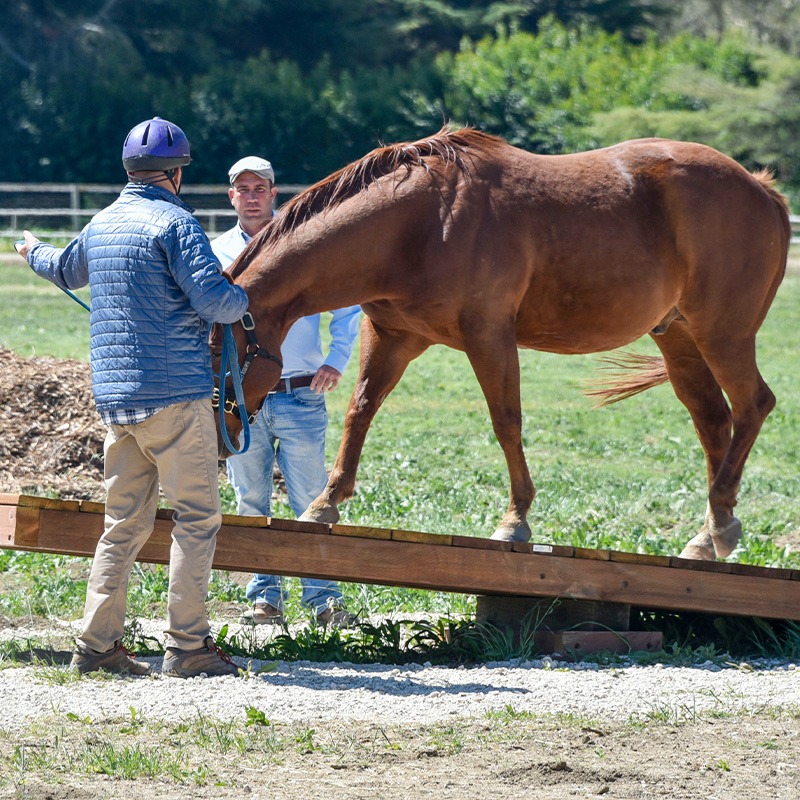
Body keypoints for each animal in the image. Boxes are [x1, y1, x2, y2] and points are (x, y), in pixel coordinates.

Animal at [216, 126, 792, 564]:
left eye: (219, 350)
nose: (223, 442)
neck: (424, 221)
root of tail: (761, 188)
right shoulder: (394, 336)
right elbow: (360, 410)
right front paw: (325, 502)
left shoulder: (488, 336)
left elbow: (505, 421)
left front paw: (515, 520)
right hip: (679, 338)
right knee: (713, 421)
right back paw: (709, 534)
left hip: (723, 334)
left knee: (754, 405)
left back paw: (721, 523)